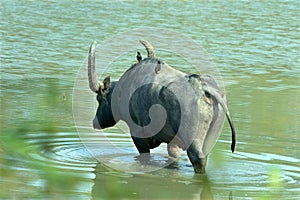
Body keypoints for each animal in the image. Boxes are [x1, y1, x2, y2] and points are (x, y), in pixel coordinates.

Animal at [88, 39, 236, 173]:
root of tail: (204, 89)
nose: (95, 122)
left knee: (198, 159)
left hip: (193, 143)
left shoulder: (138, 136)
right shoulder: (172, 143)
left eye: (98, 98)